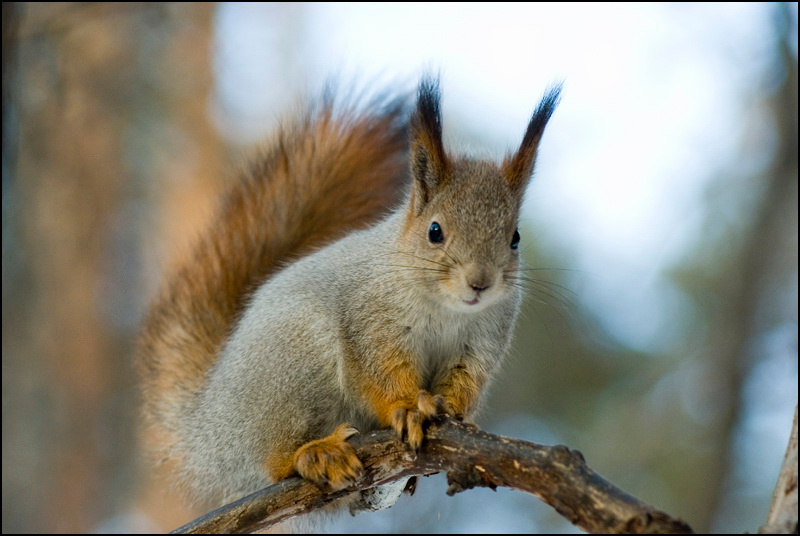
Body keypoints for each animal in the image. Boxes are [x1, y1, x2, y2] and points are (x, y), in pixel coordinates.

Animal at [138, 76, 561, 516]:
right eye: (435, 231)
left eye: (514, 238)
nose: (480, 283)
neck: (447, 309)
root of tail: (206, 425)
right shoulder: (370, 321)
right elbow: (379, 374)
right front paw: (408, 407)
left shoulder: (481, 341)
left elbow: (465, 380)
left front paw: (459, 417)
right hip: (293, 360)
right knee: (272, 460)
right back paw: (314, 454)